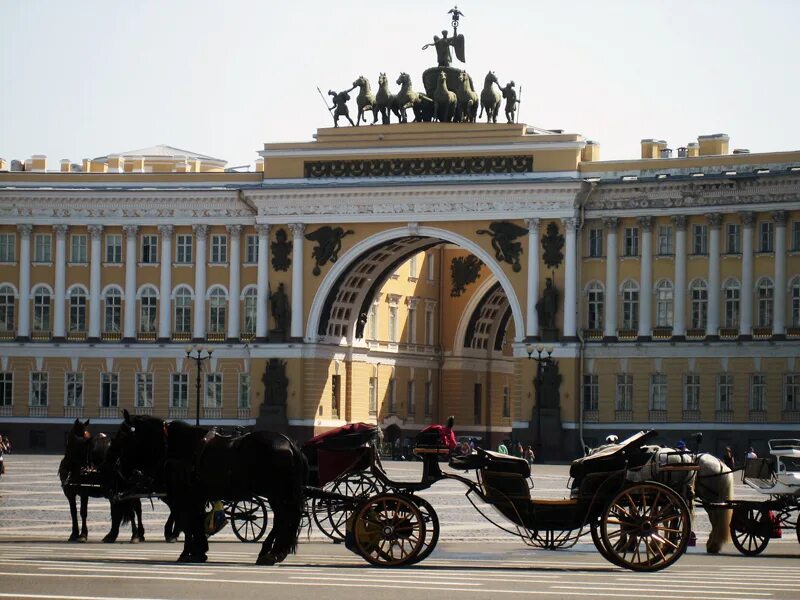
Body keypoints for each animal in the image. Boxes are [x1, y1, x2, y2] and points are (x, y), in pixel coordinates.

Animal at [115, 410, 306, 564]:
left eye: (122, 437)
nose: (119, 469)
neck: (177, 447)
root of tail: (289, 442)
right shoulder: (196, 497)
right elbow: (195, 522)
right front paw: (198, 551)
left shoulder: (184, 496)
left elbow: (188, 523)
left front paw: (189, 552)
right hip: (279, 495)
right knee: (285, 518)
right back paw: (271, 552)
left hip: (277, 494)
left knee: (285, 518)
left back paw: (273, 553)